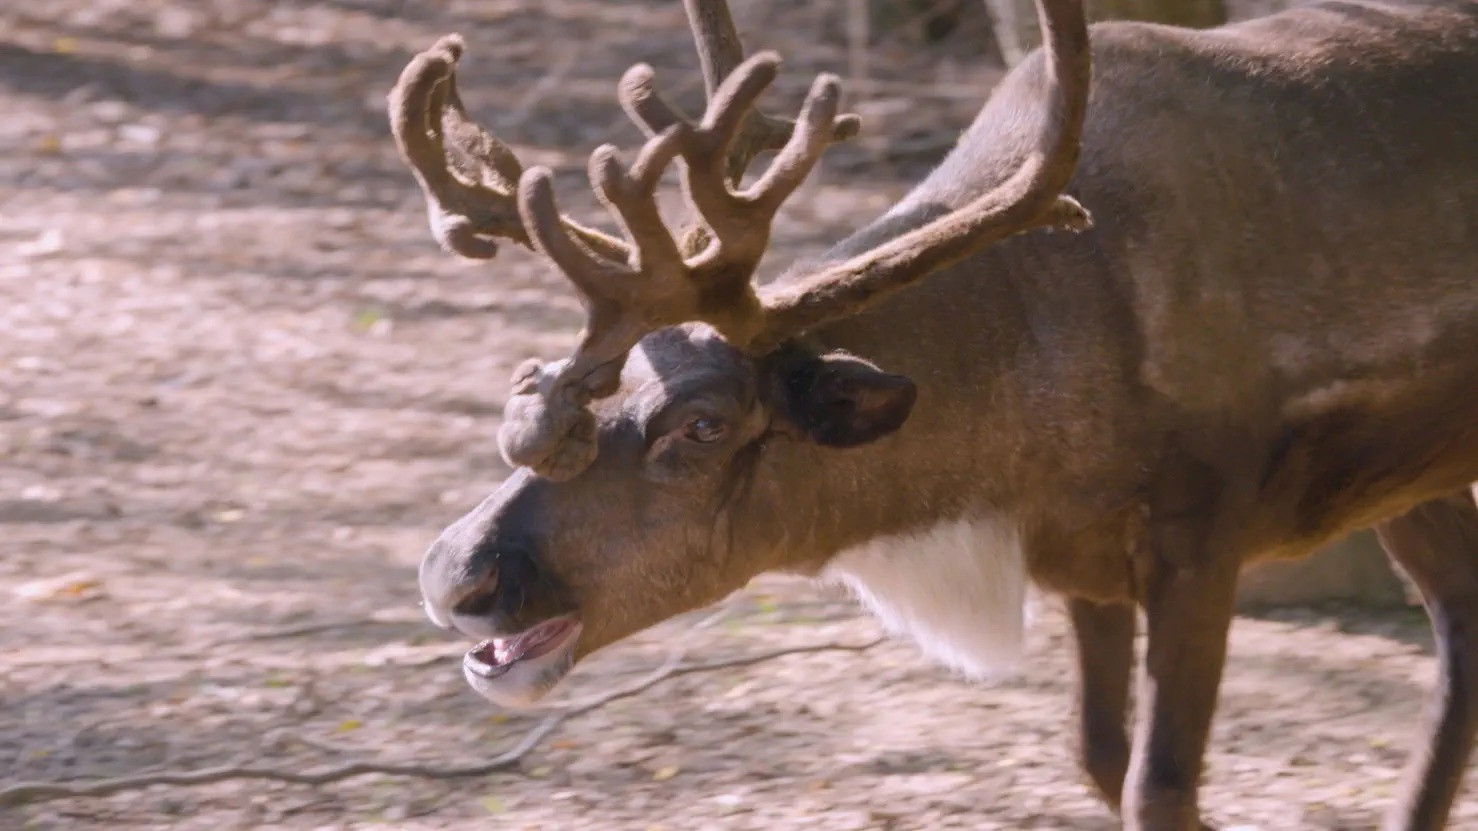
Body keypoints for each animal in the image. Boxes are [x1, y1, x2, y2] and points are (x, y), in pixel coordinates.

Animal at [390, 0, 1478, 827]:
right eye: (557, 377)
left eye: (701, 425)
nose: (454, 574)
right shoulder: (1081, 558)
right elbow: (1095, 753)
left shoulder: (1200, 530)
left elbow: (1155, 785)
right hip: (1410, 481)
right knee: (1459, 618)